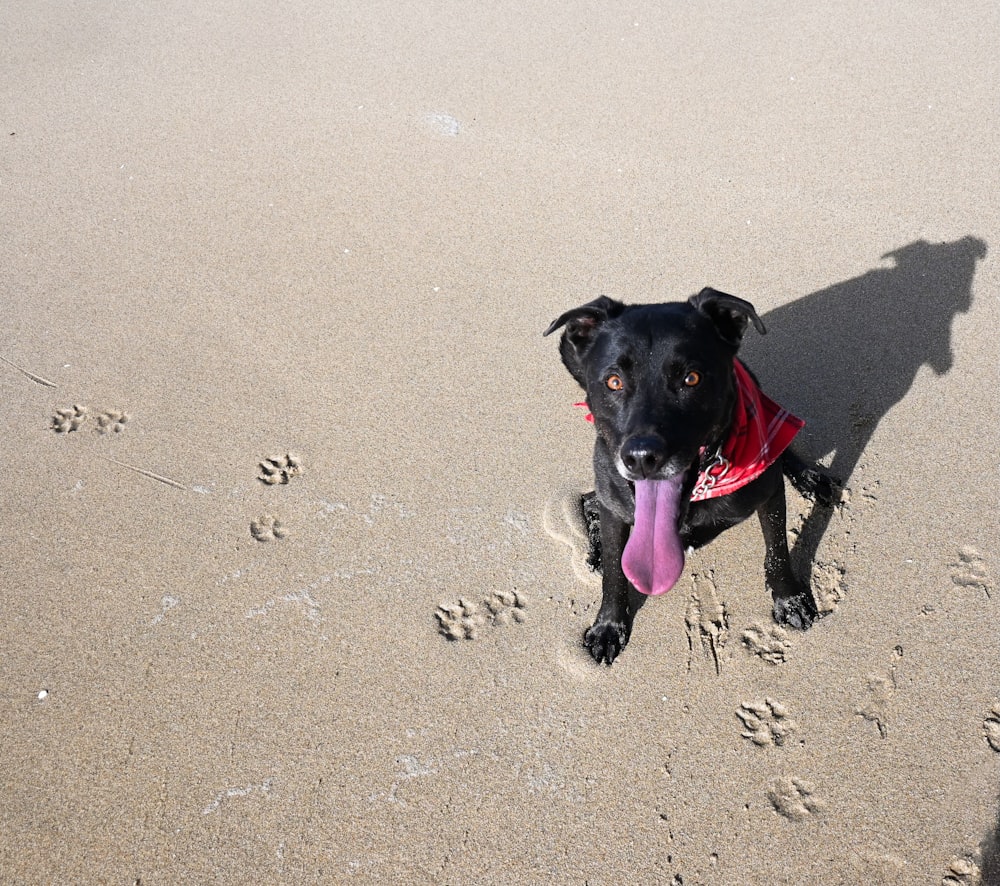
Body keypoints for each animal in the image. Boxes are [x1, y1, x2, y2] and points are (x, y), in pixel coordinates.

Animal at [548, 292, 836, 664]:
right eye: (614, 381)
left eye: (691, 379)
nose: (642, 458)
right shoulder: (614, 503)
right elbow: (614, 569)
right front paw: (609, 625)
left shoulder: (770, 492)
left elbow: (777, 552)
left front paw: (789, 599)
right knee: (589, 502)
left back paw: (811, 478)